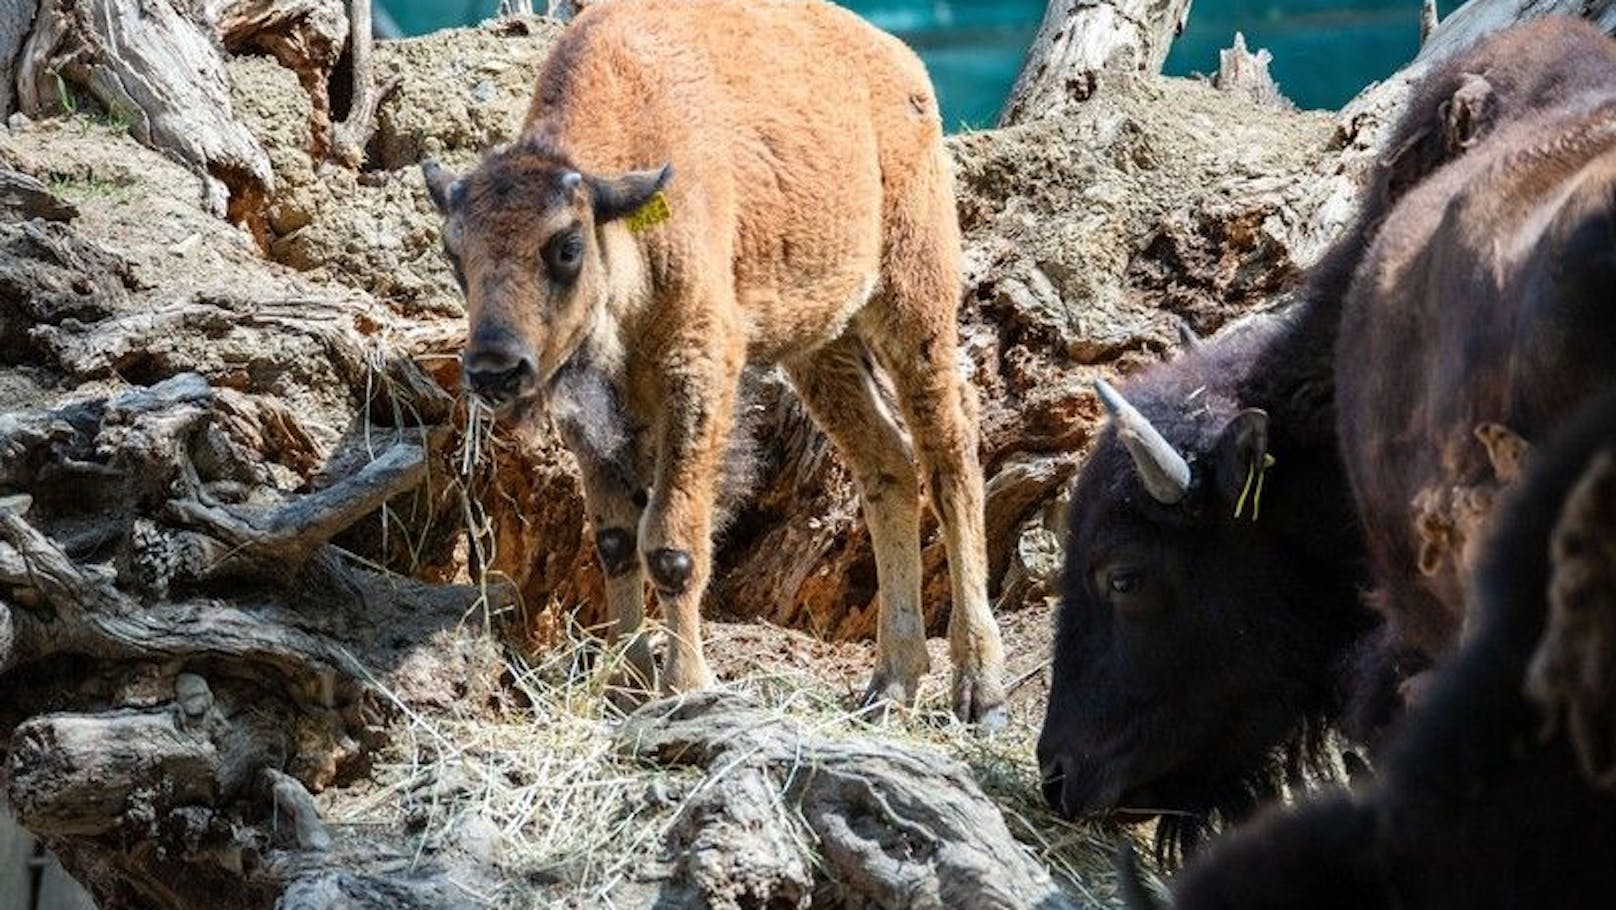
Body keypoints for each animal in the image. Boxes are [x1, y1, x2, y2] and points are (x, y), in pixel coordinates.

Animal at [423, 0, 1001, 727]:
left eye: (566, 245)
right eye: (454, 252)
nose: (495, 369)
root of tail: (903, 66)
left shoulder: (699, 373)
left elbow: (672, 543)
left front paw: (687, 688)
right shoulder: (593, 417)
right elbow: (616, 542)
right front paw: (625, 690)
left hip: (912, 304)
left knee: (950, 457)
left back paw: (979, 687)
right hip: (822, 345)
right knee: (888, 464)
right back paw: (890, 684)